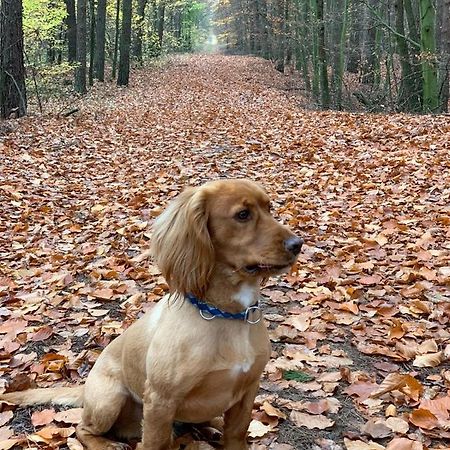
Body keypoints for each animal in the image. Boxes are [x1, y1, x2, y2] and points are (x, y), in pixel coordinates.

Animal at [0, 180, 302, 450]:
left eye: (270, 208)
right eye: (242, 215)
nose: (297, 243)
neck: (226, 314)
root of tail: (85, 388)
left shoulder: (248, 391)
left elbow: (237, 434)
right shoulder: (160, 401)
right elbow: (155, 442)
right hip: (109, 399)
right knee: (82, 429)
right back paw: (108, 445)